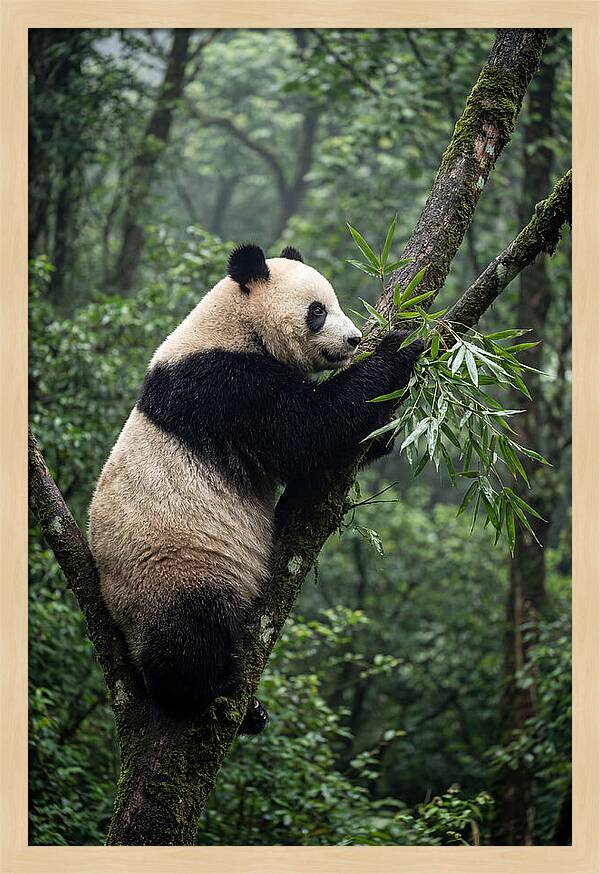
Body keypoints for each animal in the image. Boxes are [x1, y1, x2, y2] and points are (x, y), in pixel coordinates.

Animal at [89, 243, 422, 734]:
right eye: (317, 311)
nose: (354, 340)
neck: (234, 325)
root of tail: (118, 617)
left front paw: (383, 433)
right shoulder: (223, 385)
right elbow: (308, 429)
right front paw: (401, 346)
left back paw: (252, 712)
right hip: (173, 566)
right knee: (191, 631)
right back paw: (211, 686)